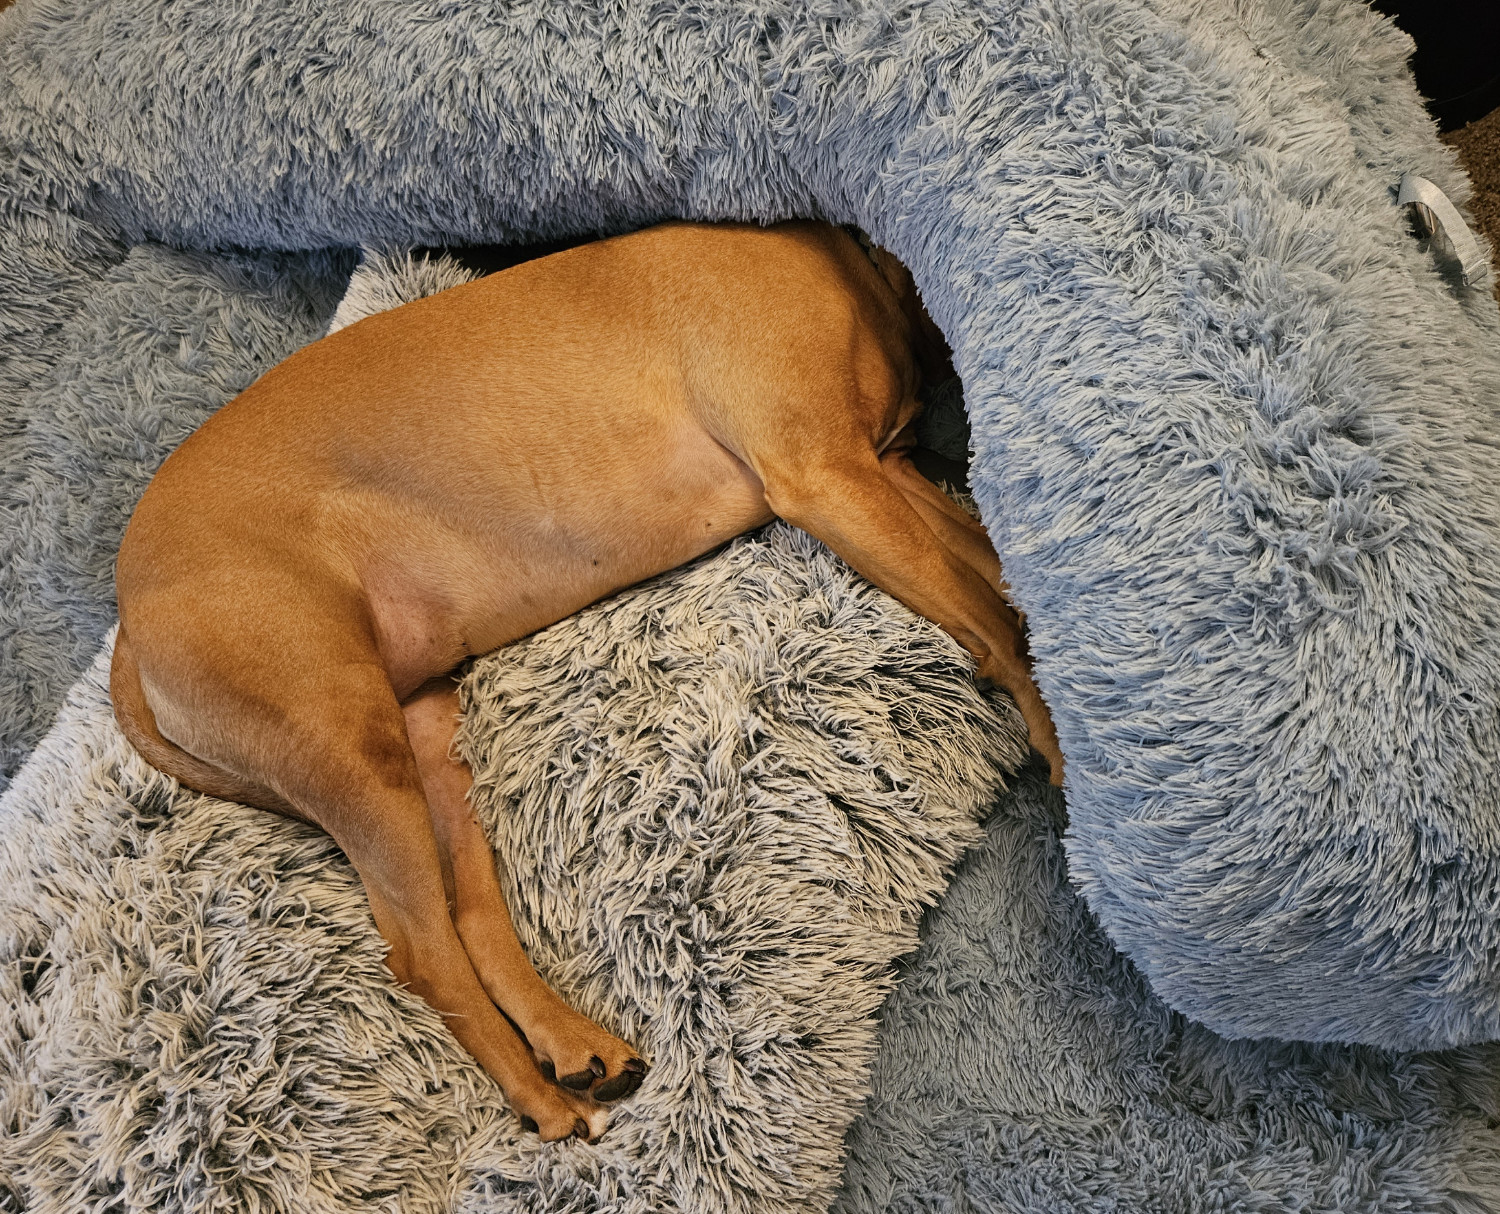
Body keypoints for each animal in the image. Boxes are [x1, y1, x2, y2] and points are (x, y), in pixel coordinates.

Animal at [111, 220, 1062, 1146]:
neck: (855, 271)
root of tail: (127, 620)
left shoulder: (885, 472)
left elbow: (994, 574)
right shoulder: (829, 477)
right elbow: (989, 614)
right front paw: (1051, 725)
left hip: (426, 738)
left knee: (471, 920)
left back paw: (572, 1045)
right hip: (354, 753)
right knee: (422, 955)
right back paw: (542, 1100)